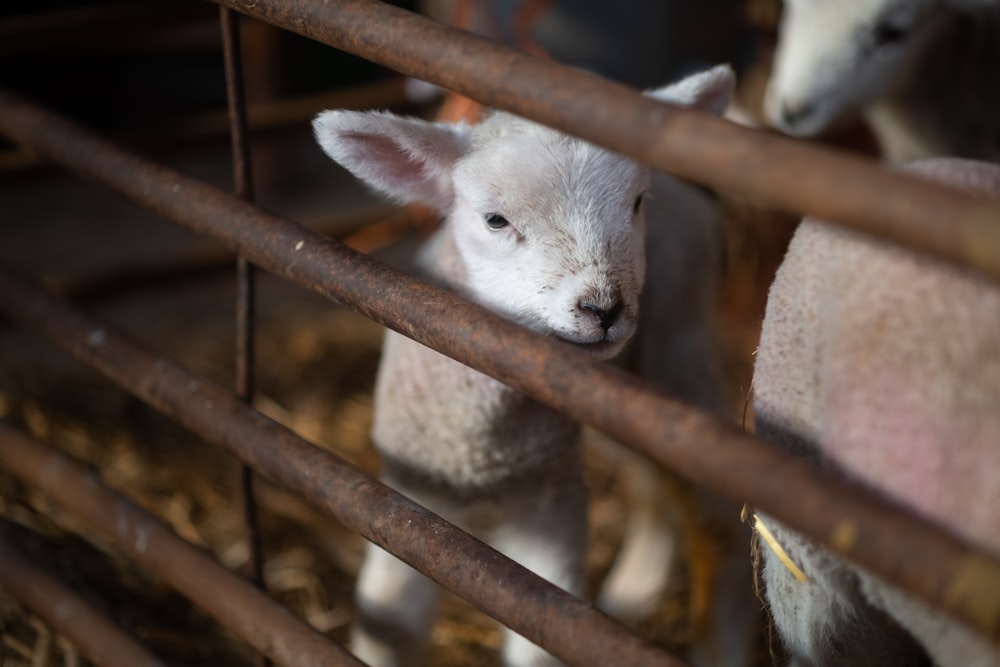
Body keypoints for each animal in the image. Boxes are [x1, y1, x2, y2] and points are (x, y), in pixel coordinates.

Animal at [316, 64, 740, 667]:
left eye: (637, 203)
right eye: (495, 220)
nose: (603, 309)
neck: (483, 453)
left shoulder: (551, 515)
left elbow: (540, 641)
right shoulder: (409, 505)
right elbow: (389, 624)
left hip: (680, 354)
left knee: (716, 520)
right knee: (652, 489)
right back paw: (630, 594)